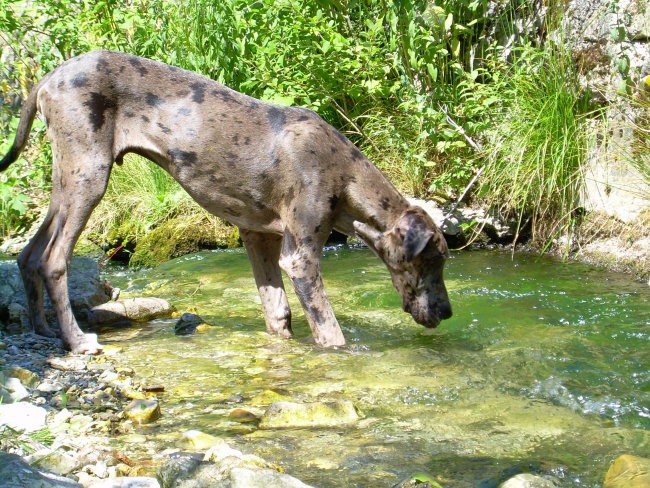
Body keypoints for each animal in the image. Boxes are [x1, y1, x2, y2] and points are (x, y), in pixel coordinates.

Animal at [0, 51, 448, 352]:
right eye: (433, 259)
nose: (448, 313)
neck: (346, 173)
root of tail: (49, 77)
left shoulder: (257, 236)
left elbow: (278, 313)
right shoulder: (300, 258)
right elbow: (330, 331)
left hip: (66, 182)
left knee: (28, 254)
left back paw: (43, 331)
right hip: (89, 179)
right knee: (53, 260)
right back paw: (77, 341)